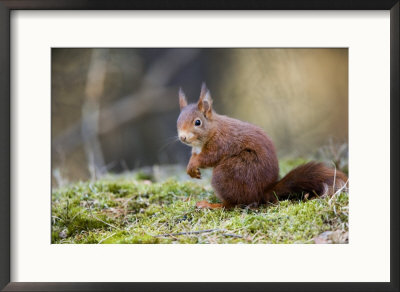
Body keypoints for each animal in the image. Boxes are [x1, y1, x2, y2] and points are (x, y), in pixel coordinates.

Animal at [177, 83, 348, 209]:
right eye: (178, 121)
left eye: (197, 122)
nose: (182, 137)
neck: (212, 129)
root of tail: (263, 192)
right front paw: (191, 168)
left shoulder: (220, 143)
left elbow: (209, 157)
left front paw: (194, 164)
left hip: (228, 174)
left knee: (233, 204)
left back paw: (212, 205)